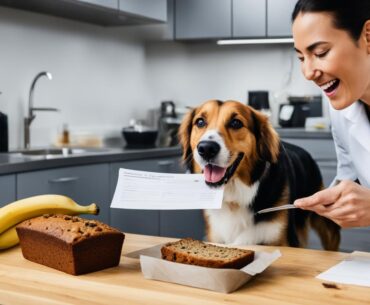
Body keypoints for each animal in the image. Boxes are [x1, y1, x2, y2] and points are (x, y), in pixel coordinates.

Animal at [178, 100, 340, 249]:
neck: (235, 197)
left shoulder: (282, 239)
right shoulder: (216, 236)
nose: (206, 148)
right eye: (200, 122)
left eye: (236, 123)